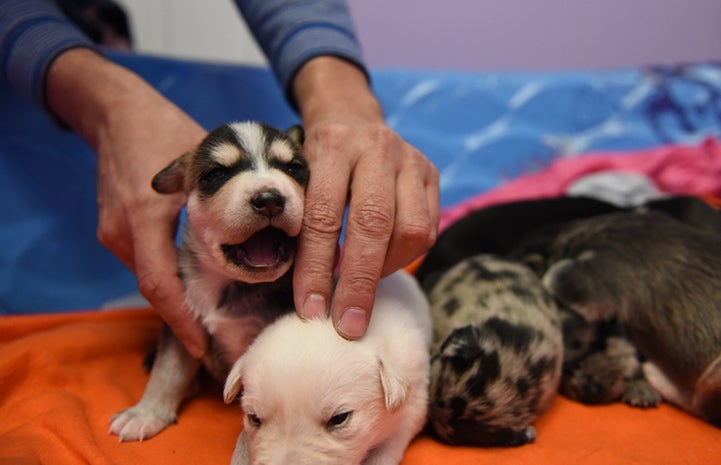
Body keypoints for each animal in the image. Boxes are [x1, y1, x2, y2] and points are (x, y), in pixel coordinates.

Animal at [108, 121, 308, 440]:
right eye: (216, 174)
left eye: (294, 168)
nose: (270, 199)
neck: (228, 283)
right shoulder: (182, 324)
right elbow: (167, 370)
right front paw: (146, 413)